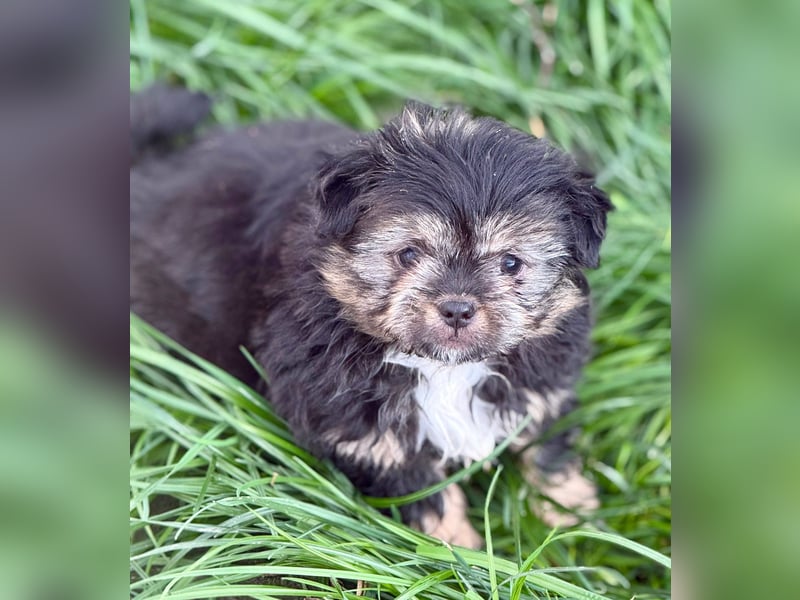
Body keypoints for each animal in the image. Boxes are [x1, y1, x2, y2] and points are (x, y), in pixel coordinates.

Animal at [130, 85, 612, 548]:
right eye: (409, 253)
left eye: (511, 263)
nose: (457, 307)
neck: (442, 368)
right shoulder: (358, 423)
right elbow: (419, 482)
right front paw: (455, 549)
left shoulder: (541, 380)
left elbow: (545, 439)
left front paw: (572, 511)